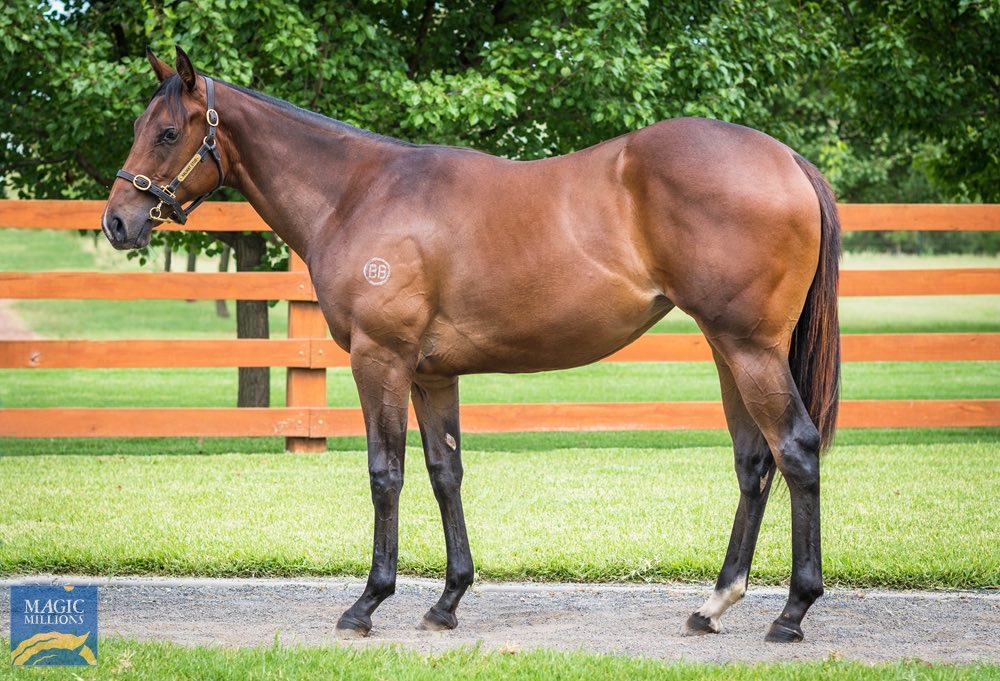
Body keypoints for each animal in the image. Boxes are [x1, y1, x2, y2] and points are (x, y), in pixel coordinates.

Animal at [102, 46, 840, 644]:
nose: (117, 222)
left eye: (168, 132)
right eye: (139, 128)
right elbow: (444, 472)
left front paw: (368, 603)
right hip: (727, 348)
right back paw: (713, 605)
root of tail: (787, 158)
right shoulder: (431, 374)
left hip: (750, 349)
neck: (358, 192)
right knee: (754, 460)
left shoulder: (380, 360)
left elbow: (386, 473)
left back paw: (792, 613)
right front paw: (447, 601)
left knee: (795, 449)